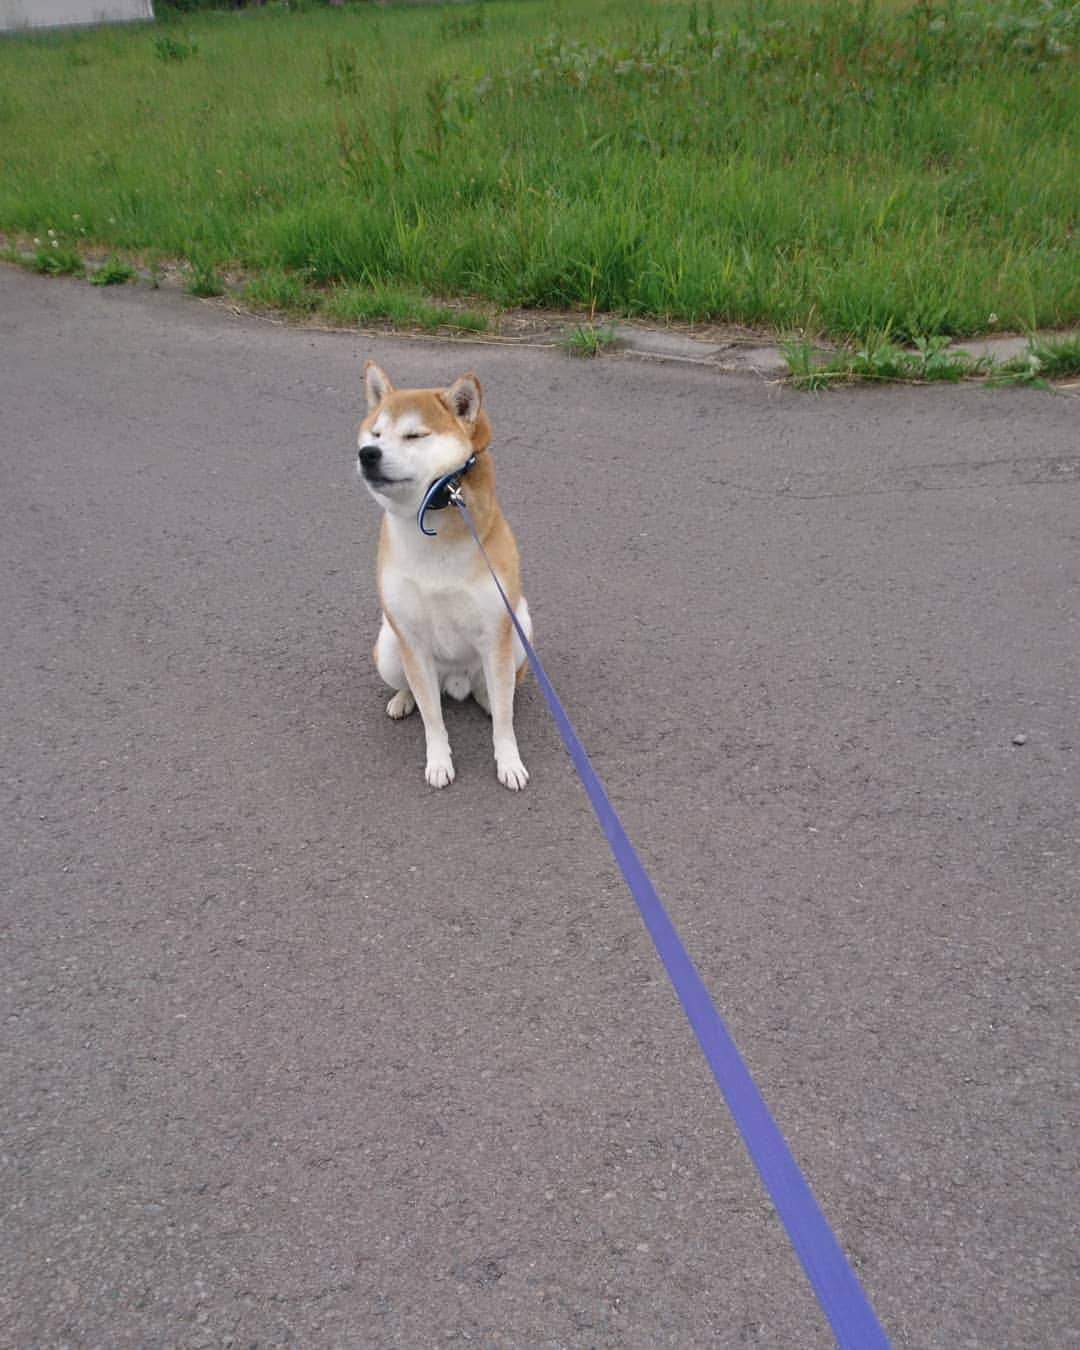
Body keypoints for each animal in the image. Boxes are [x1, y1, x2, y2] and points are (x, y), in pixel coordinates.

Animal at [359, 359, 531, 788]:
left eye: (414, 435)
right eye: (376, 433)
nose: (368, 453)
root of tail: (456, 682)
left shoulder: (496, 632)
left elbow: (505, 721)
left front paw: (508, 762)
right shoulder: (412, 640)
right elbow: (432, 718)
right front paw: (438, 761)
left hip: (520, 629)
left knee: (497, 693)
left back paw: (486, 700)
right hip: (389, 647)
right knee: (417, 691)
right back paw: (402, 700)